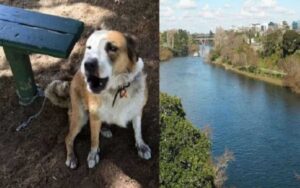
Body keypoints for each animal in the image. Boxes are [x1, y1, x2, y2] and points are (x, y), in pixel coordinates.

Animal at [45, 30, 150, 169]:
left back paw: (104, 129)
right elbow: (94, 139)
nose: (88, 64)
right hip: (81, 117)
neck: (117, 89)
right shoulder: (94, 117)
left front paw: (141, 146)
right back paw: (71, 157)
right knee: (68, 138)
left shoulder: (137, 110)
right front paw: (93, 155)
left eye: (112, 48)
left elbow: (138, 131)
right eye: (89, 48)